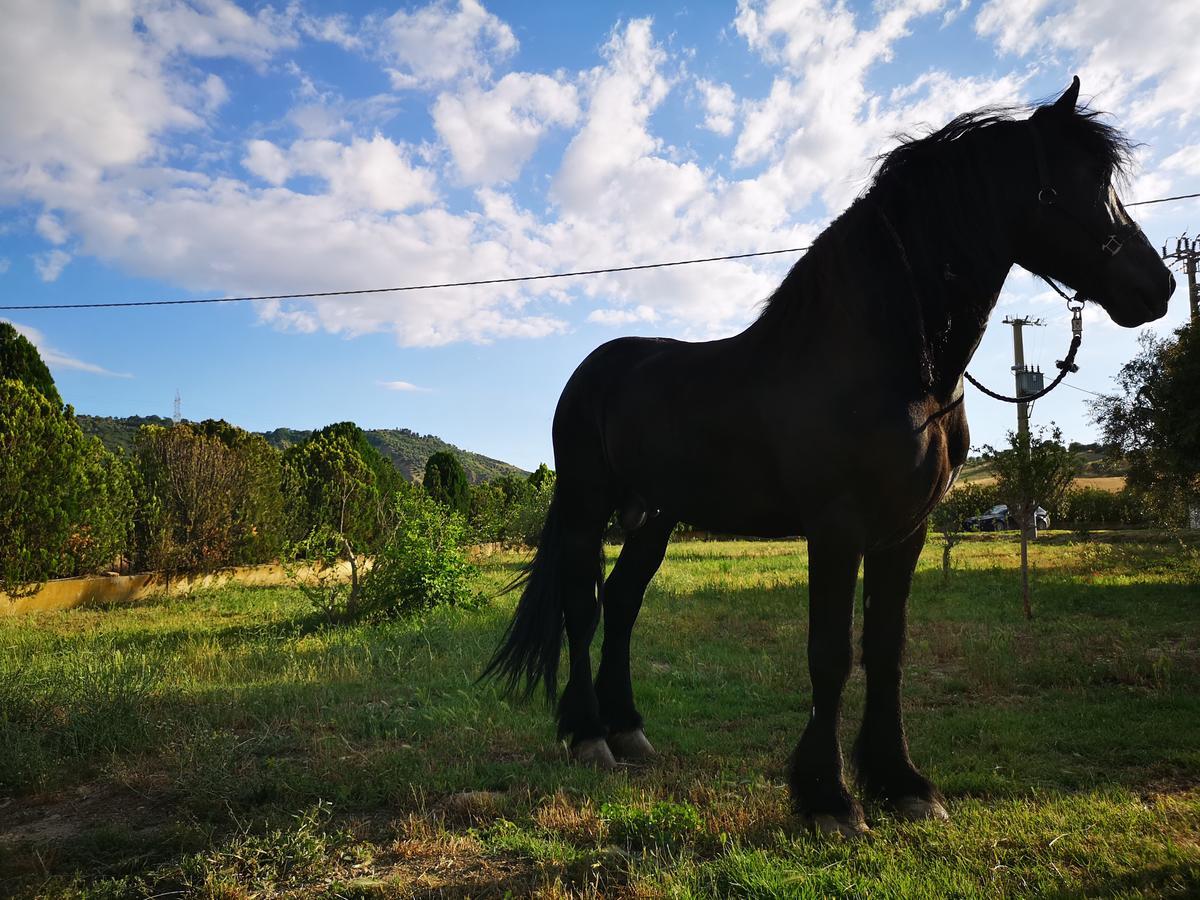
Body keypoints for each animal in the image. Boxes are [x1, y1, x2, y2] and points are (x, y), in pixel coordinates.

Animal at [480, 79, 1171, 840]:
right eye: (1071, 185)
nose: (1158, 288)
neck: (891, 369)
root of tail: (594, 371)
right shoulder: (837, 528)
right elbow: (831, 653)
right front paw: (828, 798)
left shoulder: (905, 530)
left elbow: (887, 648)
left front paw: (901, 784)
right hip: (585, 504)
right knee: (583, 608)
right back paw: (588, 737)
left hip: (656, 516)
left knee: (625, 603)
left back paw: (629, 730)